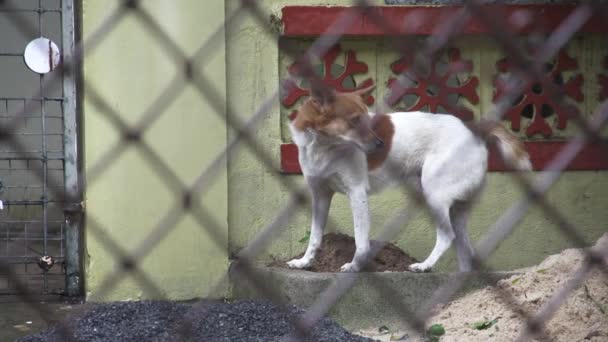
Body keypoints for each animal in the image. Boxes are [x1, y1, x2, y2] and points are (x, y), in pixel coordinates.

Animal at [288, 82, 528, 272]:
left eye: (366, 121)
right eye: (355, 120)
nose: (380, 144)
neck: (325, 146)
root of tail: (473, 130)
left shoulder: (357, 193)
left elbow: (361, 241)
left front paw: (355, 266)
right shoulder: (320, 195)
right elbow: (315, 237)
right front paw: (304, 262)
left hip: (434, 195)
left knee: (446, 237)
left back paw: (424, 265)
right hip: (457, 210)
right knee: (464, 249)